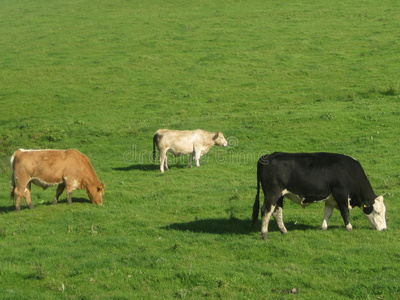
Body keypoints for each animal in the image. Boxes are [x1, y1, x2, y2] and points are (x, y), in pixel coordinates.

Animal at [253, 152, 388, 239]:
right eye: (377, 212)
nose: (384, 229)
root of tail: (268, 156)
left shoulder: (331, 198)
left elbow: (327, 213)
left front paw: (323, 227)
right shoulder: (341, 194)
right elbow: (345, 212)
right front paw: (349, 227)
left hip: (279, 196)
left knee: (276, 212)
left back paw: (284, 231)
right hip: (272, 193)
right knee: (266, 211)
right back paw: (264, 234)